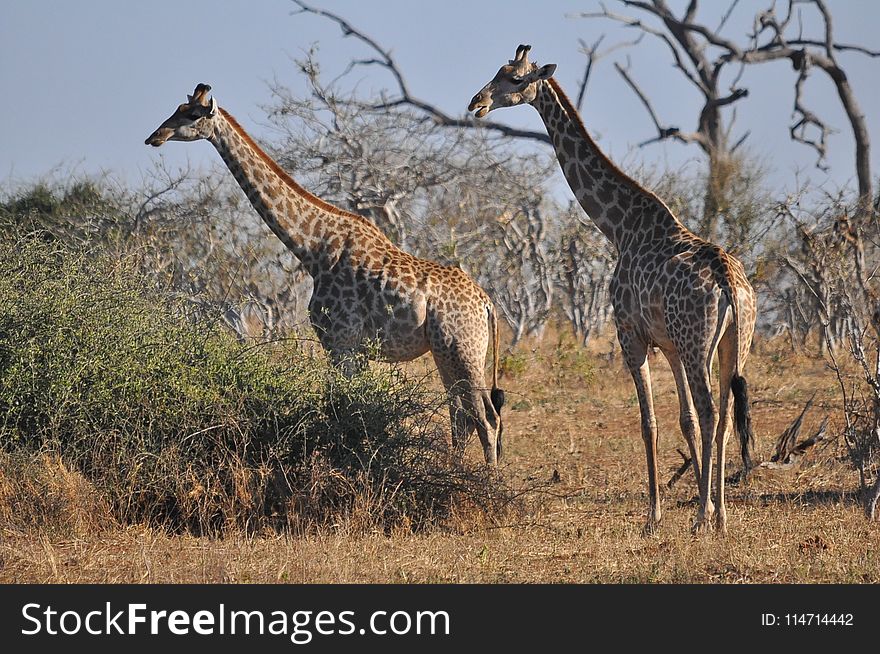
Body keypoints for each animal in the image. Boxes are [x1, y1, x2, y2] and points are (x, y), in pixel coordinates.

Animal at [147, 84, 506, 466]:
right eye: (178, 108)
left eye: (190, 115)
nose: (155, 137)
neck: (311, 248)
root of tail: (487, 304)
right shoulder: (353, 349)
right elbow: (355, 406)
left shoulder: (340, 341)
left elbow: (346, 407)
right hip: (446, 352)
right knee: (461, 416)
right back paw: (455, 470)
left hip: (463, 349)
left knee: (486, 417)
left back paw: (485, 478)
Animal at [470, 47, 760, 540]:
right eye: (496, 71)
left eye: (514, 78)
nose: (477, 103)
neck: (619, 228)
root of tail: (728, 281)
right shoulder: (668, 344)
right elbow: (683, 421)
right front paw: (690, 505)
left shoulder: (631, 336)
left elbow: (649, 423)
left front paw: (654, 517)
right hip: (732, 345)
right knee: (724, 416)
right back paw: (720, 515)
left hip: (699, 344)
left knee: (711, 412)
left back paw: (703, 517)